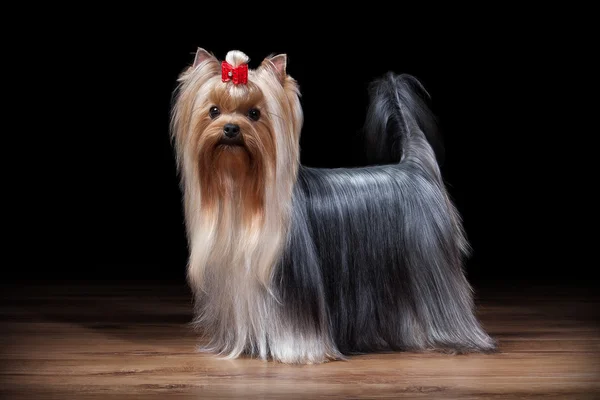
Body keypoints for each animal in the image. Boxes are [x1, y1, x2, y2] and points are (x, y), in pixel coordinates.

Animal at [170, 48, 496, 364]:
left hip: (431, 266)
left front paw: (295, 352)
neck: (242, 191)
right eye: (213, 111)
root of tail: (417, 166)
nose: (230, 128)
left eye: (254, 114)